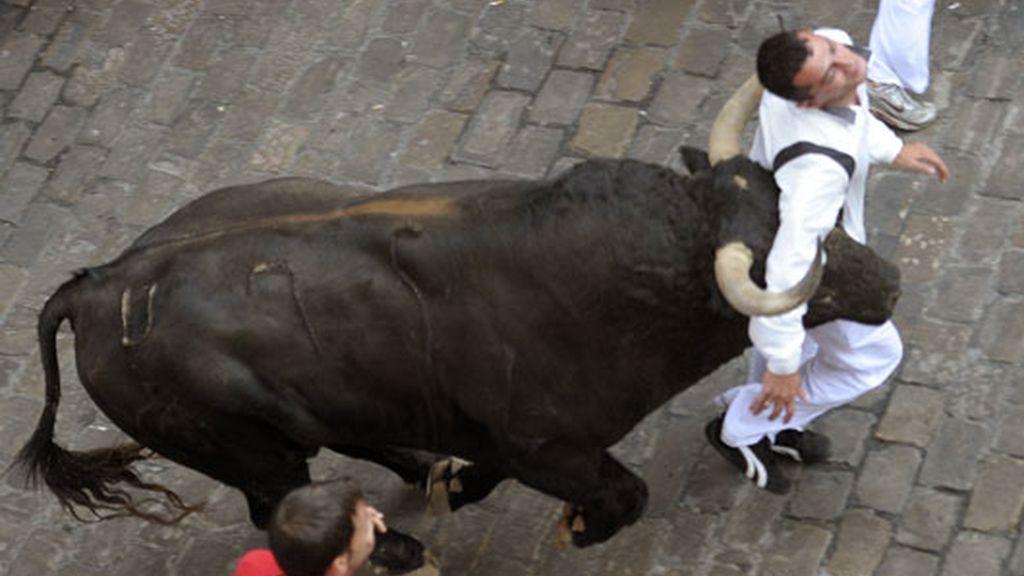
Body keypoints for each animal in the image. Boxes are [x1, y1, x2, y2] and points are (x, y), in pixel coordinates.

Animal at [12, 146, 901, 541]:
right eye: (801, 270)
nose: (890, 282)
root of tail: (95, 285)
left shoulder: (504, 434)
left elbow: (487, 467)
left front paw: (457, 485)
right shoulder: (552, 448)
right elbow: (626, 496)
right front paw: (577, 528)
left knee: (362, 441)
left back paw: (420, 479)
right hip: (248, 451)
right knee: (276, 507)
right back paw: (394, 543)